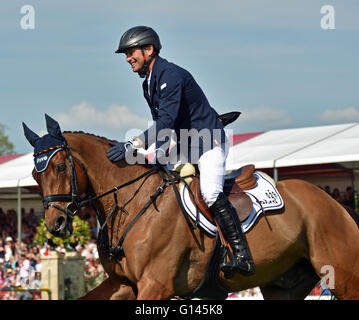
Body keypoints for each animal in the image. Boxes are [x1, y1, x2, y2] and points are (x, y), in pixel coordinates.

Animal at [26, 127, 359, 300]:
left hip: (342, 276)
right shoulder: (122, 284)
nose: (55, 224)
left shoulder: (155, 286)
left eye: (59, 167)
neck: (134, 203)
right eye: (34, 174)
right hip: (283, 283)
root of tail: (338, 204)